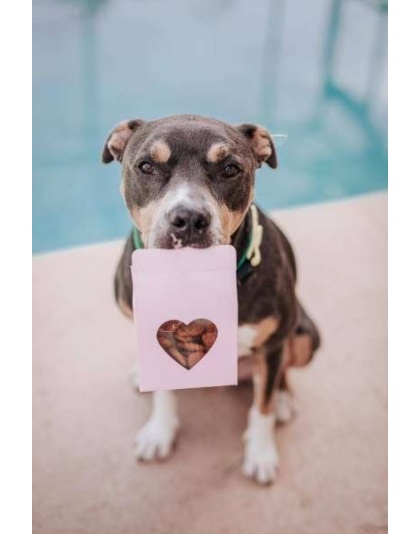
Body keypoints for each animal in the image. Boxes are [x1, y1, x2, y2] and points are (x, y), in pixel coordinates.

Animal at [102, 115, 322, 488]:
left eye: (230, 168)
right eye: (146, 166)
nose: (189, 219)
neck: (192, 276)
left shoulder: (274, 342)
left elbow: (261, 407)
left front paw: (261, 454)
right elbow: (165, 392)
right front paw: (159, 433)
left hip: (305, 335)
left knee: (274, 377)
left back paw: (282, 398)